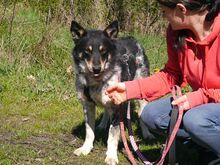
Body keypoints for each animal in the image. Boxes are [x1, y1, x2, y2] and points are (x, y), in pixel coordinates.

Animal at [70, 20, 155, 164]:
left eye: (103, 51)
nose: (96, 68)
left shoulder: (116, 108)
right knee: (106, 110)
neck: (96, 81)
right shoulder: (88, 105)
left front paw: (111, 156)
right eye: (87, 51)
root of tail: (131, 39)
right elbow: (89, 131)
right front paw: (85, 148)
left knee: (141, 113)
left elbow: (113, 135)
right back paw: (102, 124)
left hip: (141, 93)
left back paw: (147, 133)